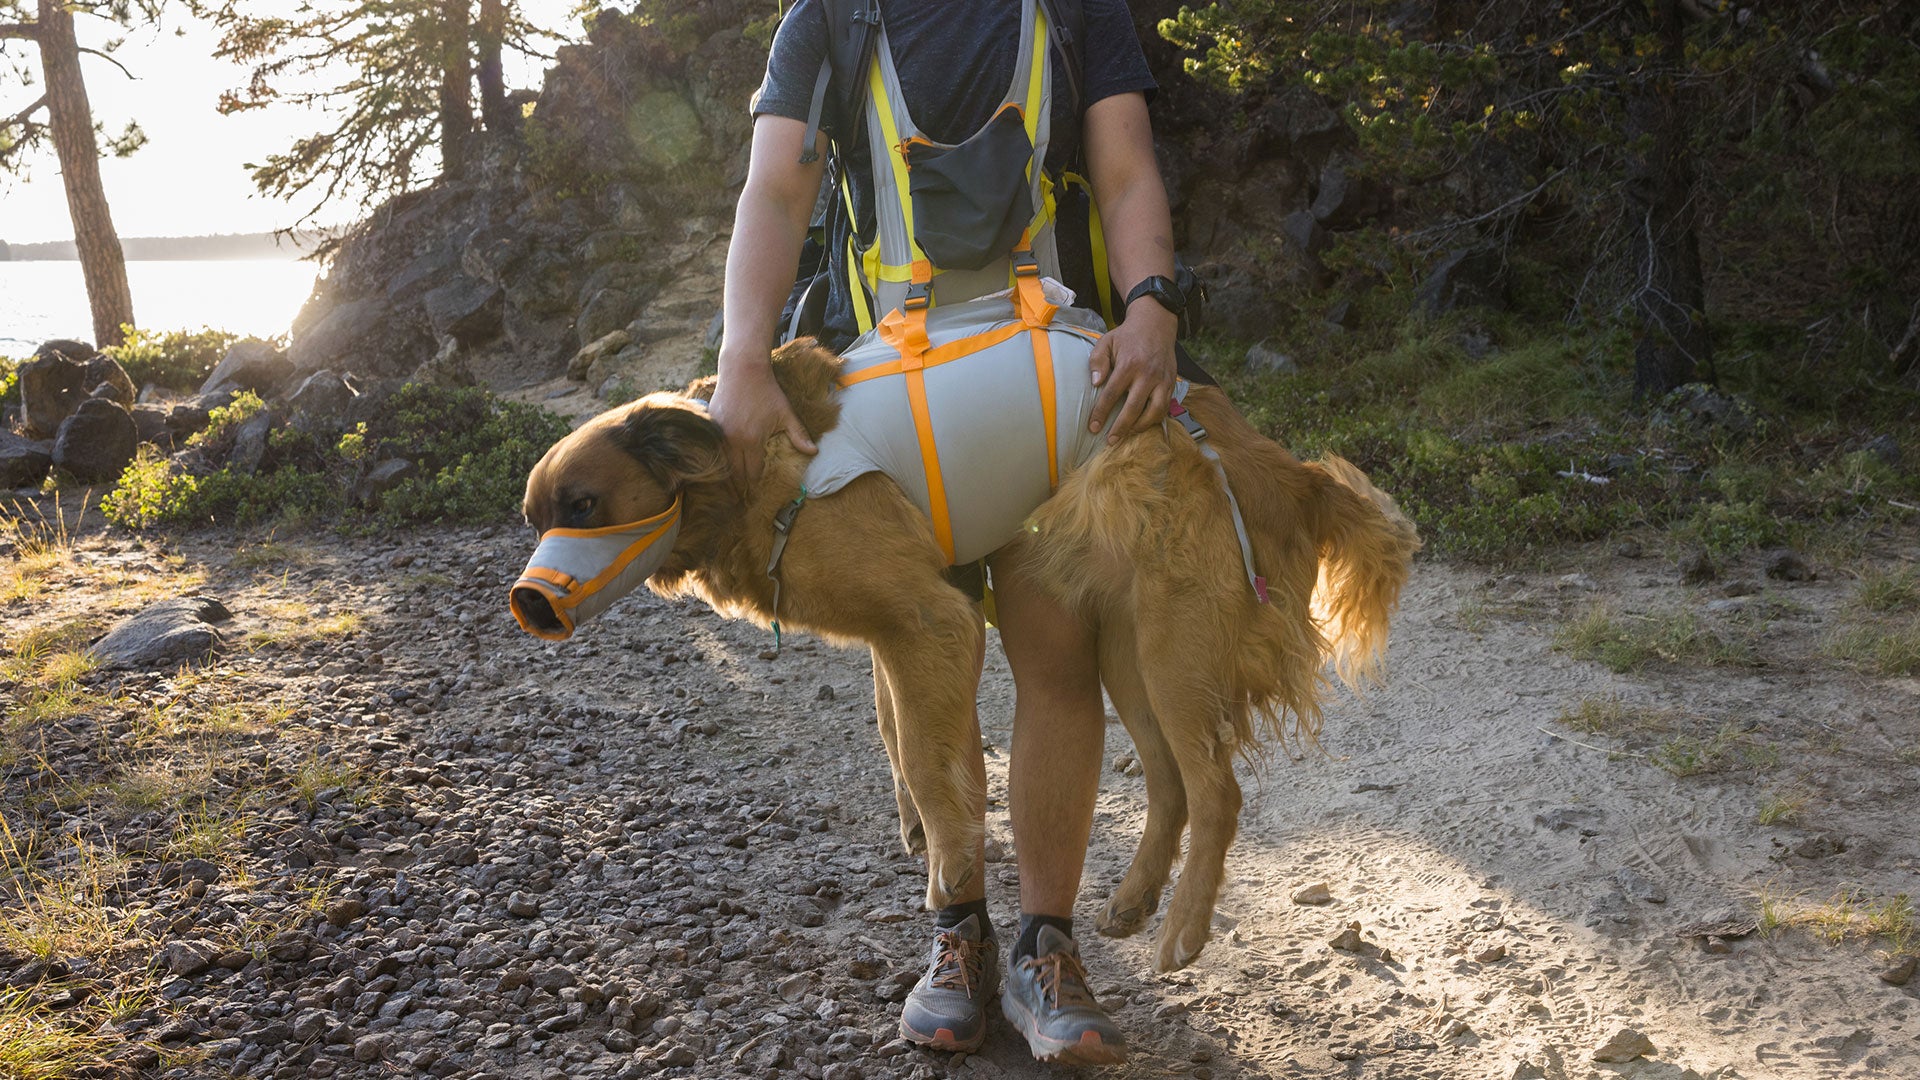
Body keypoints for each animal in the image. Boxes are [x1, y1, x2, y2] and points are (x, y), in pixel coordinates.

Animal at [518, 338, 1420, 968]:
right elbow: (897, 736)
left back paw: (1183, 931)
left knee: (1217, 792)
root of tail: (1287, 471)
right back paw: (1134, 898)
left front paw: (949, 867)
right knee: (1170, 784)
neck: (746, 473)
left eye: (584, 503)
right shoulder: (897, 633)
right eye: (536, 518)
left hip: (1173, 650)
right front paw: (929, 836)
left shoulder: (931, 621)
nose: (527, 602)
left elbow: (922, 754)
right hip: (1126, 652)